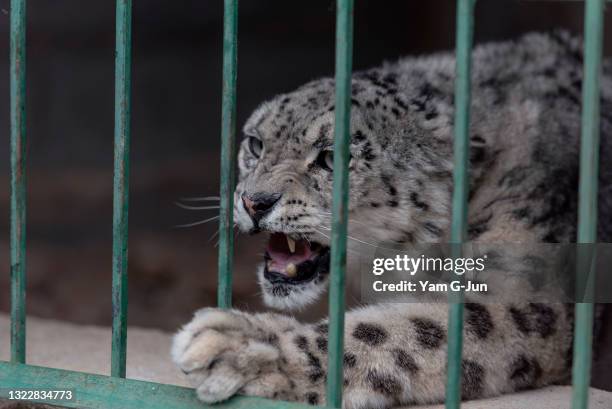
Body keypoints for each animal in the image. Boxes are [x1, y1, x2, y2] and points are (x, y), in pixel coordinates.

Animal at [170, 32, 608, 408]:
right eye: (256, 144)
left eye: (332, 157)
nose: (254, 201)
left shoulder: (522, 296)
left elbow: (394, 331)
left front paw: (239, 348)